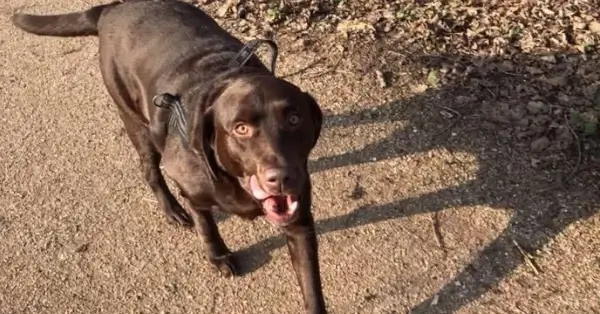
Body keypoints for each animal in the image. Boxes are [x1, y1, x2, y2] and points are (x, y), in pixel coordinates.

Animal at [10, 1, 324, 312]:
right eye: (241, 128)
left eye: (294, 119)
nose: (281, 177)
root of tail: (113, 8)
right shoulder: (193, 191)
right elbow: (206, 226)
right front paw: (218, 256)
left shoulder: (299, 222)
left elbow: (311, 284)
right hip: (135, 120)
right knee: (149, 169)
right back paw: (172, 210)